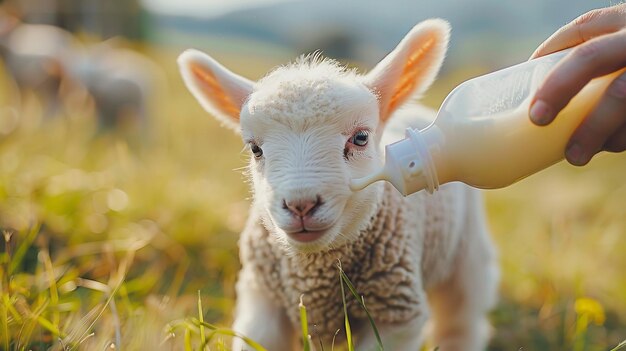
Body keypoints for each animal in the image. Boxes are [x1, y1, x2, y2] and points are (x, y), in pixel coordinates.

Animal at [177, 20, 498, 351]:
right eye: (254, 149)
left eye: (361, 138)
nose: (301, 205)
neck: (316, 273)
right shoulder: (262, 301)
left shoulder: (396, 316)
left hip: (466, 251)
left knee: (460, 319)